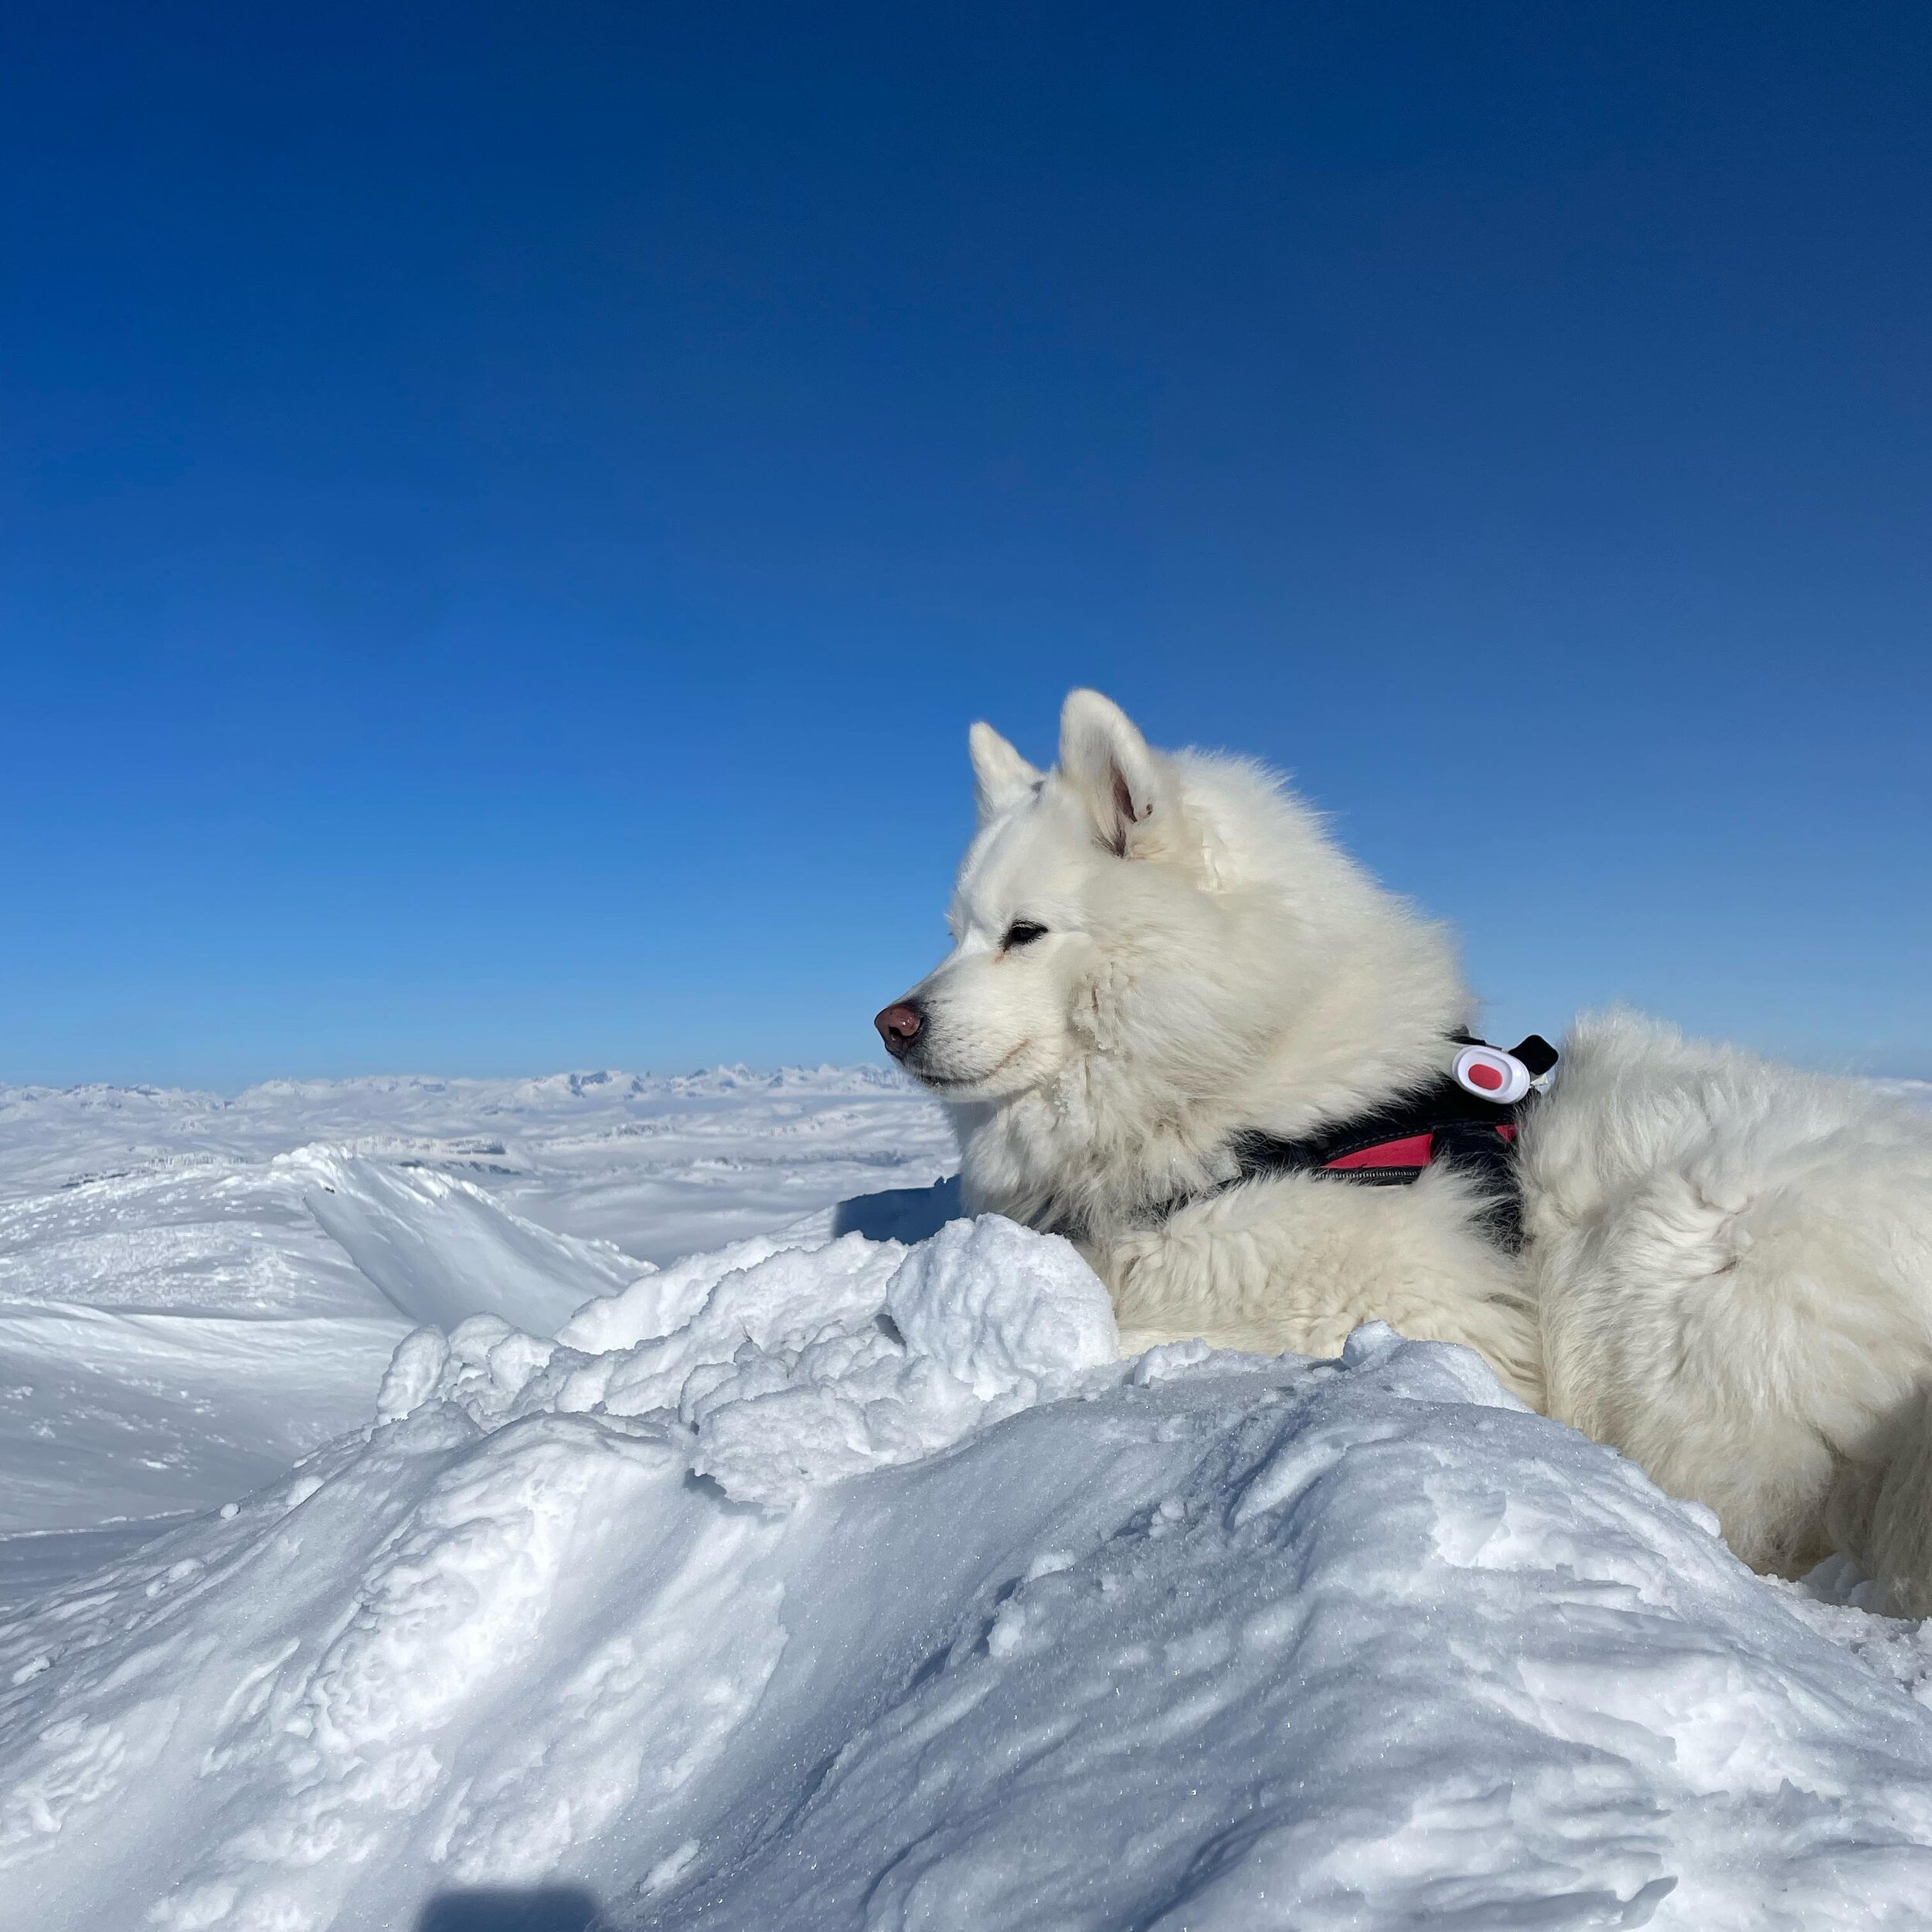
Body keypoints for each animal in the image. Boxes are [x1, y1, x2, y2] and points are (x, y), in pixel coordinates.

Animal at [877, 688, 1932, 1607]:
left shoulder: (1407, 1319)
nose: (892, 1024)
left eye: (1025, 932)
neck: (1257, 1084)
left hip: (1686, 1285)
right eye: (956, 932)